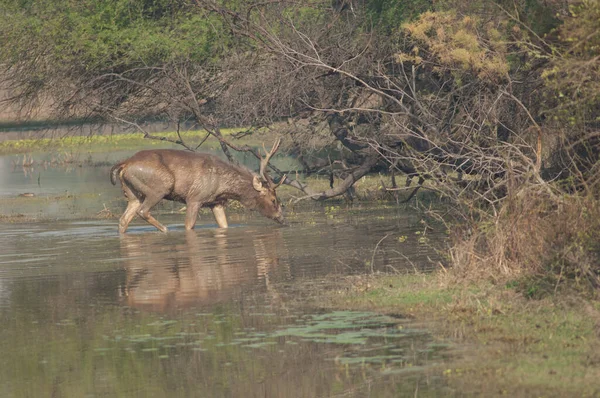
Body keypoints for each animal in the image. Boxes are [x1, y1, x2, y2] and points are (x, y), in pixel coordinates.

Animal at [109, 139, 286, 233]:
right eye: (273, 199)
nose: (282, 218)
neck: (224, 186)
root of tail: (125, 164)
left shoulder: (216, 202)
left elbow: (224, 226)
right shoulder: (194, 198)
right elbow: (189, 226)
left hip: (133, 194)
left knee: (124, 219)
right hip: (160, 186)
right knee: (143, 211)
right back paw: (166, 230)